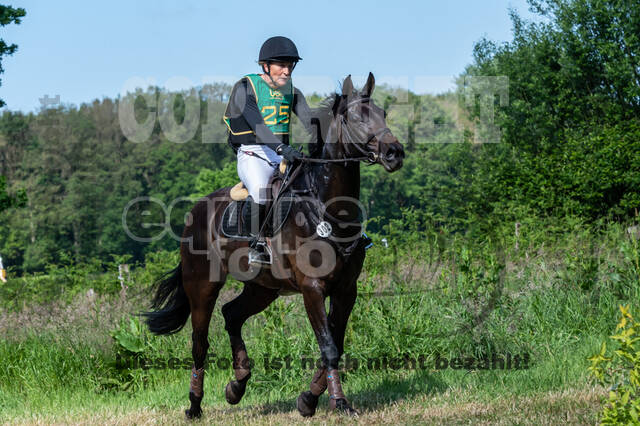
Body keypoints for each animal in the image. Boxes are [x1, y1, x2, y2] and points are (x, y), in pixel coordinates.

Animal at [143, 72, 405, 418]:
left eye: (383, 114)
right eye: (356, 117)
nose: (394, 153)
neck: (325, 206)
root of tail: (194, 212)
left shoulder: (347, 289)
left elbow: (335, 343)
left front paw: (309, 399)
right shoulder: (312, 288)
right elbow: (329, 347)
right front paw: (338, 402)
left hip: (263, 288)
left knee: (232, 315)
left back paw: (237, 385)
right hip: (201, 286)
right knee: (200, 343)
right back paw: (194, 406)